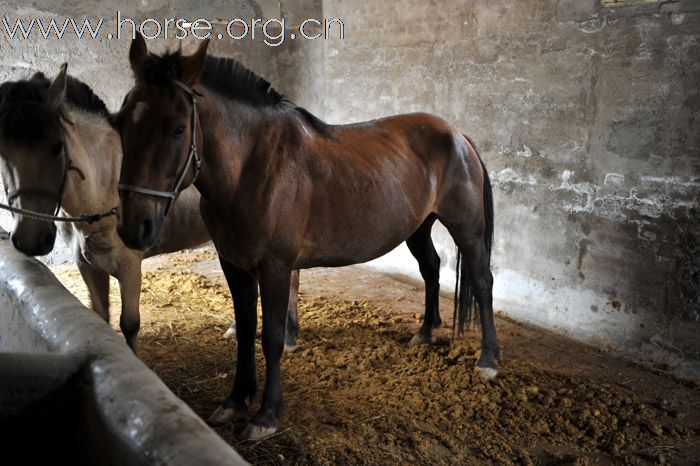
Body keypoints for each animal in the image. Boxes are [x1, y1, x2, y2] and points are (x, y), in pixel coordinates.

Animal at [113, 34, 498, 438]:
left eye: (177, 129)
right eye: (121, 123)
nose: (134, 225)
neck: (254, 167)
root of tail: (457, 135)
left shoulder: (276, 267)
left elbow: (271, 337)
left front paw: (267, 414)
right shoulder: (233, 263)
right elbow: (245, 329)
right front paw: (236, 400)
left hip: (467, 228)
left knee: (482, 281)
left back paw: (488, 360)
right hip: (418, 227)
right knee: (431, 268)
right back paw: (425, 332)